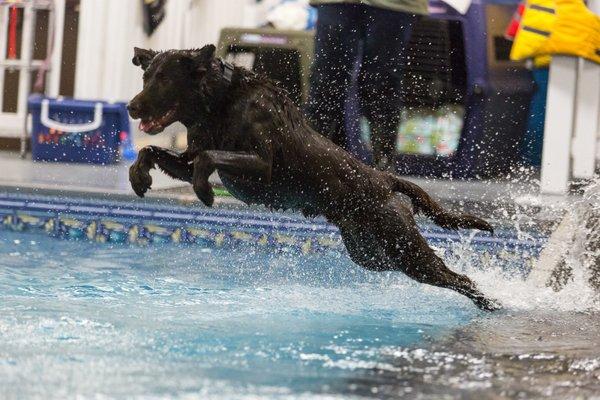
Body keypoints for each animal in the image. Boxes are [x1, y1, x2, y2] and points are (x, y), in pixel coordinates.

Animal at [127, 45, 502, 310]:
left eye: (164, 79)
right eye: (146, 78)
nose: (131, 107)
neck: (223, 101)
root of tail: (384, 179)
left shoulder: (261, 164)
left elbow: (207, 160)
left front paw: (204, 192)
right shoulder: (189, 157)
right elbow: (153, 152)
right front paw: (138, 178)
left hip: (405, 249)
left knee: (457, 277)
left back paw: (493, 303)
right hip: (374, 254)